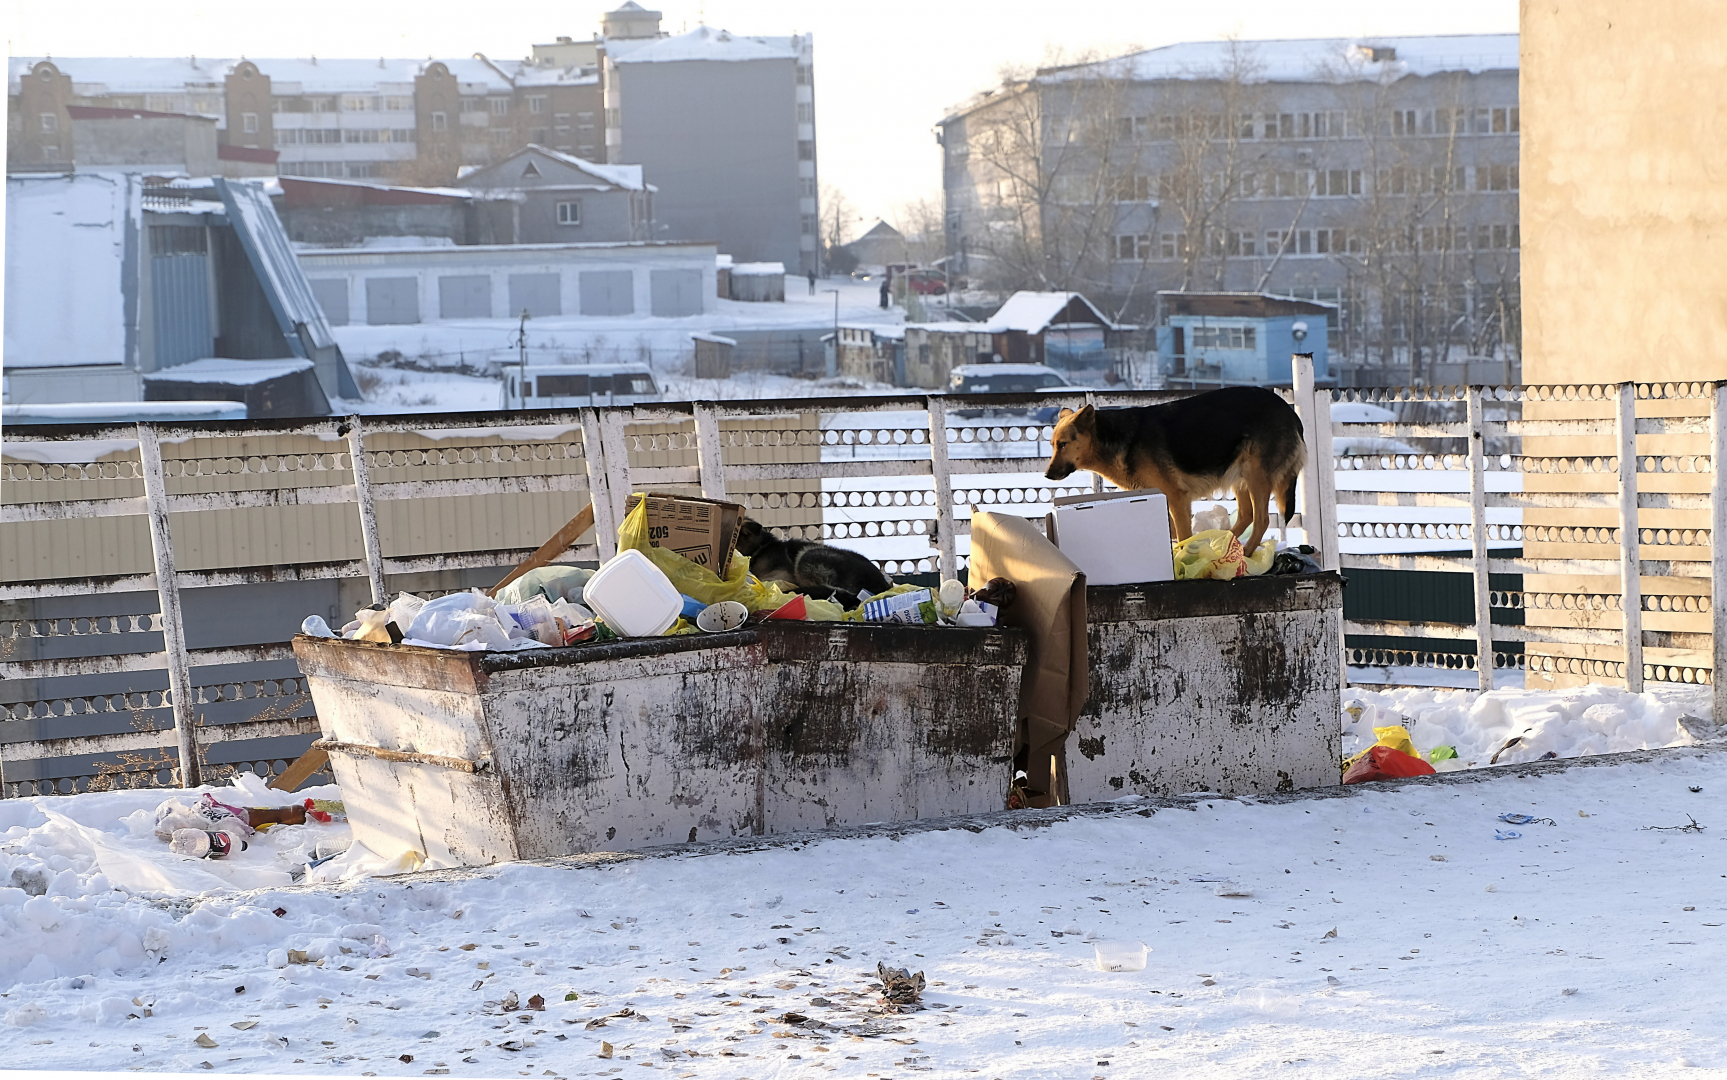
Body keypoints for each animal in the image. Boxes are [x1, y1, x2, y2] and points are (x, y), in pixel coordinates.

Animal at [1036, 385, 1305, 556]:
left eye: (1063, 444)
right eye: (1052, 445)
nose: (1047, 475)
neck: (1115, 438)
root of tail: (1290, 411)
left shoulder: (1177, 497)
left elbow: (1183, 533)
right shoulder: (1166, 500)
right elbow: (1174, 531)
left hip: (1255, 476)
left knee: (1261, 519)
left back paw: (1246, 553)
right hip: (1239, 476)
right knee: (1246, 516)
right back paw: (1222, 544)